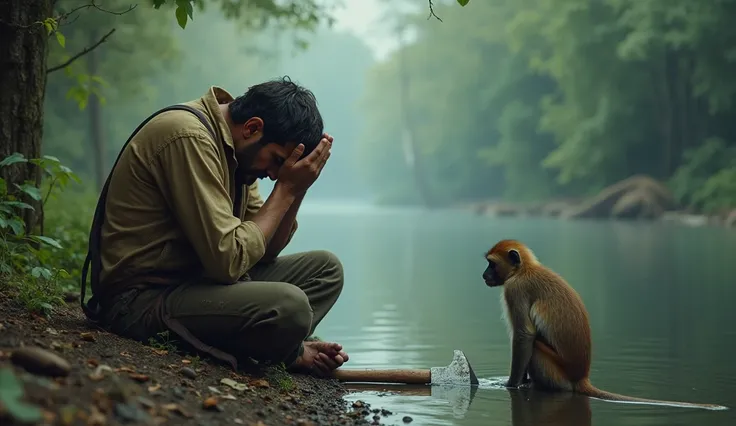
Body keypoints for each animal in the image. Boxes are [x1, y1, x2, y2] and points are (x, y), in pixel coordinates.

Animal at [480, 238, 728, 412]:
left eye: (491, 264)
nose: (484, 275)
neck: (524, 270)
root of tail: (581, 378)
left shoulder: (515, 289)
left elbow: (525, 335)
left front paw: (511, 384)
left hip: (556, 374)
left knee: (537, 347)